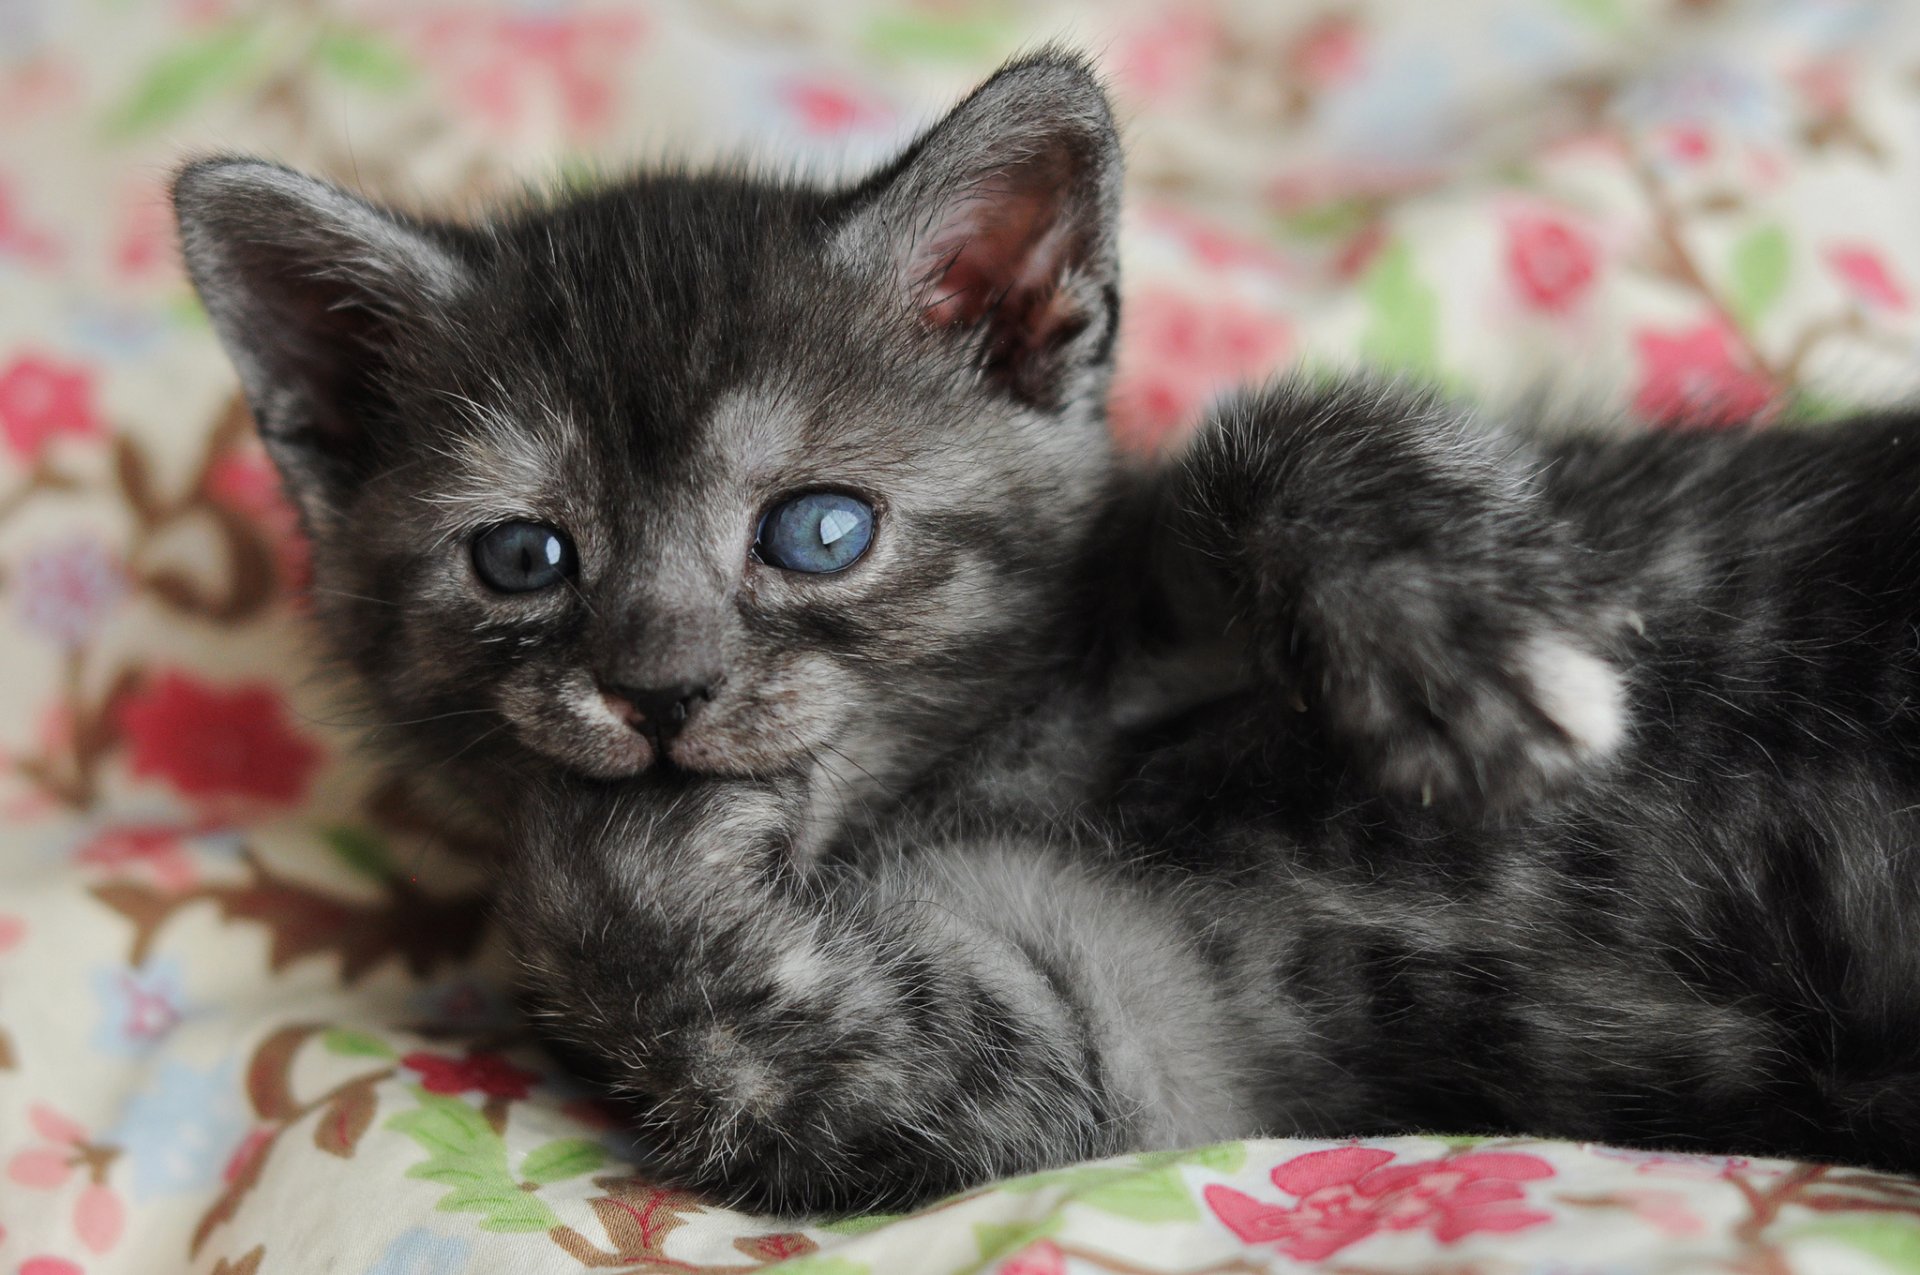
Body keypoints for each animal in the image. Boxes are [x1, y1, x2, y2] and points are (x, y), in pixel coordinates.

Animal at [172, 54, 1920, 1221]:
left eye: (820, 530)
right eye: (523, 554)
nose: (662, 690)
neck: (1007, 756)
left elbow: (1280, 436)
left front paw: (1468, 652)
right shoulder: (1126, 1047)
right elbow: (695, 964)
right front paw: (633, 828)